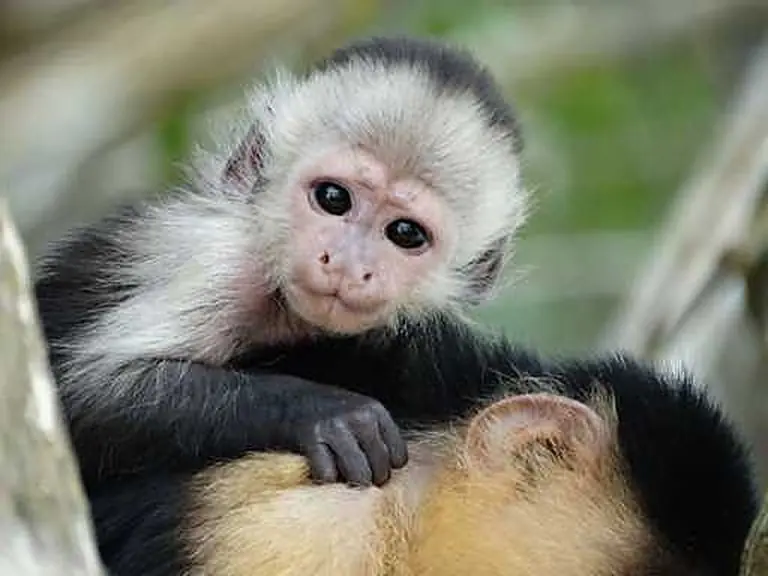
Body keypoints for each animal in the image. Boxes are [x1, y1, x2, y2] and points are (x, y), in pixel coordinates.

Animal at [34, 35, 527, 490]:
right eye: (333, 198)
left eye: (406, 233)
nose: (346, 263)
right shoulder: (223, 264)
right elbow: (80, 396)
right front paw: (327, 414)